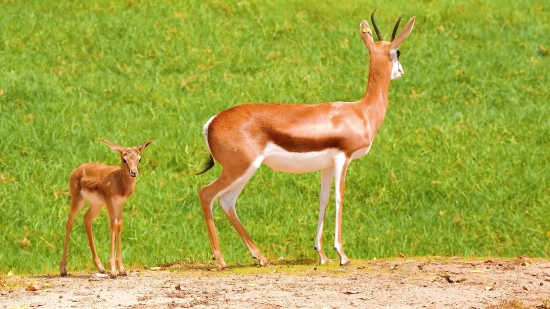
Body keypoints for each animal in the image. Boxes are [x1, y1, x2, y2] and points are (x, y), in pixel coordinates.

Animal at [60, 138, 155, 276]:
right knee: (69, 222)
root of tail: (76, 170)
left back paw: (101, 267)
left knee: (87, 219)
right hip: (78, 200)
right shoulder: (110, 201)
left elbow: (119, 224)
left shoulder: (120, 203)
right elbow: (113, 225)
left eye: (139, 159)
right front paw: (113, 270)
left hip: (96, 204)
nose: (134, 172)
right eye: (124, 159)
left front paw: (122, 269)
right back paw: (63, 269)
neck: (119, 181)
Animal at [196, 10, 416, 268]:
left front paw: (322, 254)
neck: (361, 111)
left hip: (245, 170)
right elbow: (340, 198)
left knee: (227, 202)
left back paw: (260, 257)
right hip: (239, 168)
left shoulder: (327, 165)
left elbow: (323, 199)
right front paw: (342, 255)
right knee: (207, 194)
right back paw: (221, 260)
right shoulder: (343, 158)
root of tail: (211, 122)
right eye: (398, 52)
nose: (401, 71)